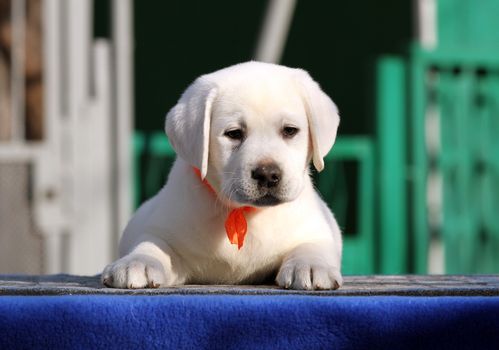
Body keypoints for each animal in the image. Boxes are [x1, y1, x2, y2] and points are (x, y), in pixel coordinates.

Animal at [101, 62, 344, 290]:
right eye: (234, 134)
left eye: (290, 130)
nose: (267, 174)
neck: (244, 213)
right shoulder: (161, 226)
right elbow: (151, 243)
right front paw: (137, 262)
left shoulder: (316, 227)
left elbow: (311, 244)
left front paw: (311, 265)